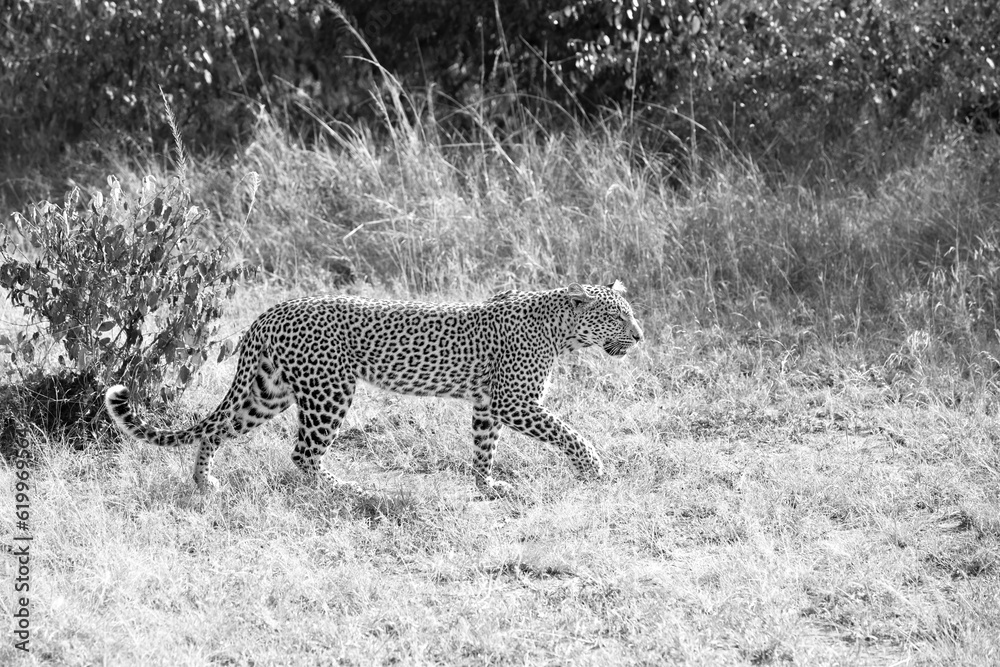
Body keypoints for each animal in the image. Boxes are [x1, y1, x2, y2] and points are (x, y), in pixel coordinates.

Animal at [104, 281, 644, 498]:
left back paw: (204, 483)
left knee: (215, 432)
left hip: (268, 391)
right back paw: (348, 489)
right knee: (303, 453)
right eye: (617, 317)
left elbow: (484, 447)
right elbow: (570, 433)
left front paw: (486, 486)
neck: (560, 331)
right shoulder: (515, 402)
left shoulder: (488, 403)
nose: (640, 336)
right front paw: (594, 470)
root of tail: (269, 313)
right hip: (329, 391)